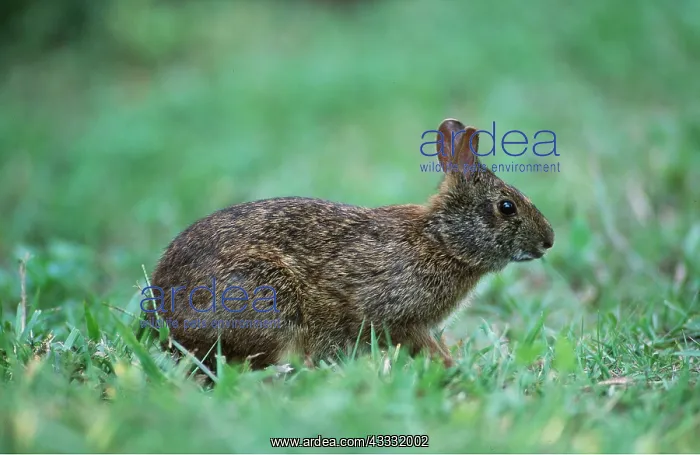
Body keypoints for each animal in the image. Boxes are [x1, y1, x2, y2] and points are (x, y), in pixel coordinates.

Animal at [144, 118, 555, 370]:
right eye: (506, 206)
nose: (549, 241)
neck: (440, 240)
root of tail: (164, 322)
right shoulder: (397, 316)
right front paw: (452, 367)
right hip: (262, 293)